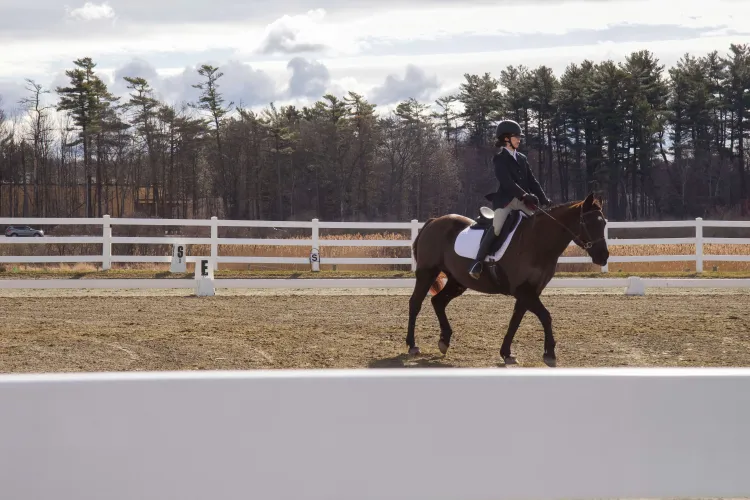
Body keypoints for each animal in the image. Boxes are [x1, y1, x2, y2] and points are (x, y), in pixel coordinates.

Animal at [407, 192, 609, 367]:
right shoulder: (524, 291)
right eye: (587, 222)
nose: (603, 256)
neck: (537, 241)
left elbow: (516, 319)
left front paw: (506, 353)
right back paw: (412, 345)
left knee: (438, 301)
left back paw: (444, 341)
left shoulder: (530, 291)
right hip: (427, 273)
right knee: (415, 303)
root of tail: (434, 221)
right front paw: (549, 354)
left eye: (604, 224)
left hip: (457, 281)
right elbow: (545, 316)